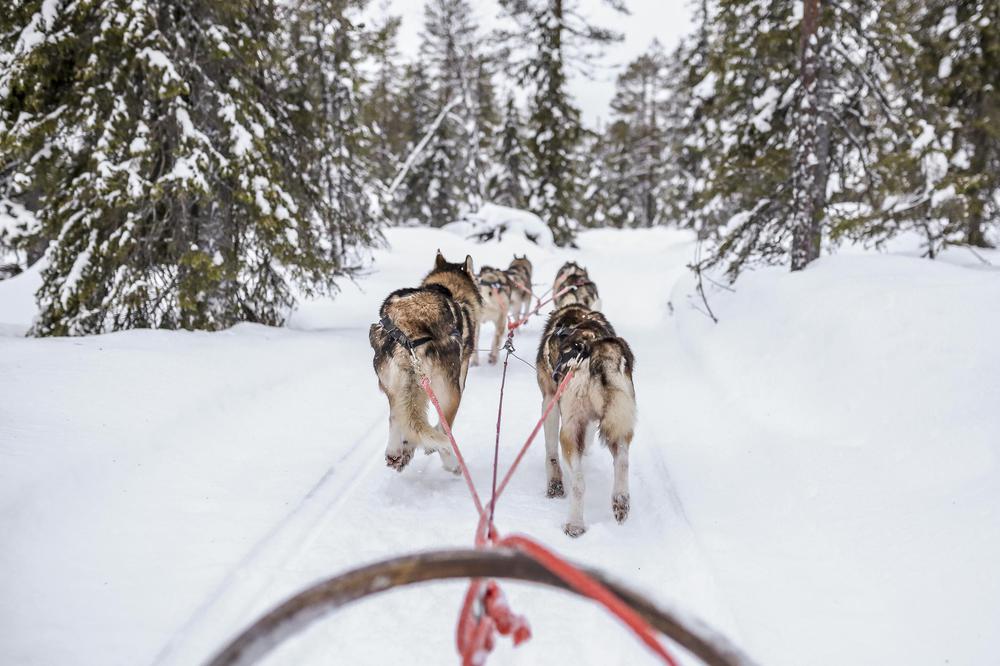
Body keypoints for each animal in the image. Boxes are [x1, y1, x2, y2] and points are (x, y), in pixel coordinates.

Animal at [370, 250, 482, 472]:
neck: (450, 288)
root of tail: (408, 328)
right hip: (450, 392)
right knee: (444, 430)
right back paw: (451, 462)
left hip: (394, 385)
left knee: (396, 415)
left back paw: (395, 452)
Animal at [536, 304, 636, 536]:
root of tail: (592, 345)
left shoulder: (550, 401)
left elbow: (551, 452)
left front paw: (554, 485)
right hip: (620, 420)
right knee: (622, 461)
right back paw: (621, 502)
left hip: (569, 431)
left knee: (579, 482)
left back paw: (574, 524)